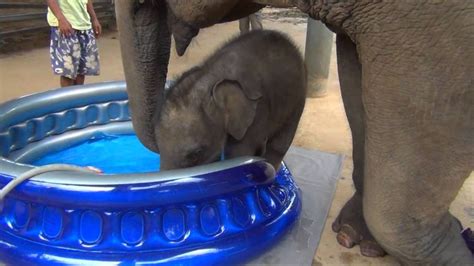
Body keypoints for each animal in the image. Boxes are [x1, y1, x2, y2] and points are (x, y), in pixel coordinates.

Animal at [156, 29, 308, 170]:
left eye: (195, 154)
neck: (211, 76)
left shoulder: (257, 112)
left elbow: (239, 154)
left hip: (298, 98)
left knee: (279, 145)